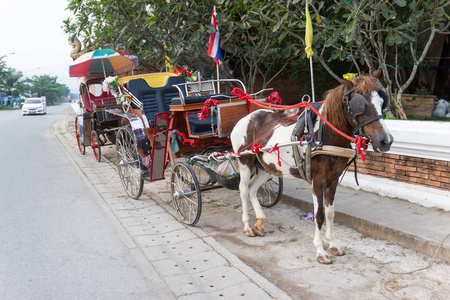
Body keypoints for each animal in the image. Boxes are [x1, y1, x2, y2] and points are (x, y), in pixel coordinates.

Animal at [230, 71, 392, 264]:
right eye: (360, 105)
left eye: (382, 101)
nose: (385, 141)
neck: (324, 134)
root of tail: (246, 118)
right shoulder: (318, 180)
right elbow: (319, 214)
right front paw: (320, 251)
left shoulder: (333, 180)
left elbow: (330, 213)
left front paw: (333, 244)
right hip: (245, 161)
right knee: (243, 190)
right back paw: (247, 226)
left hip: (265, 167)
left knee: (253, 189)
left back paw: (260, 222)